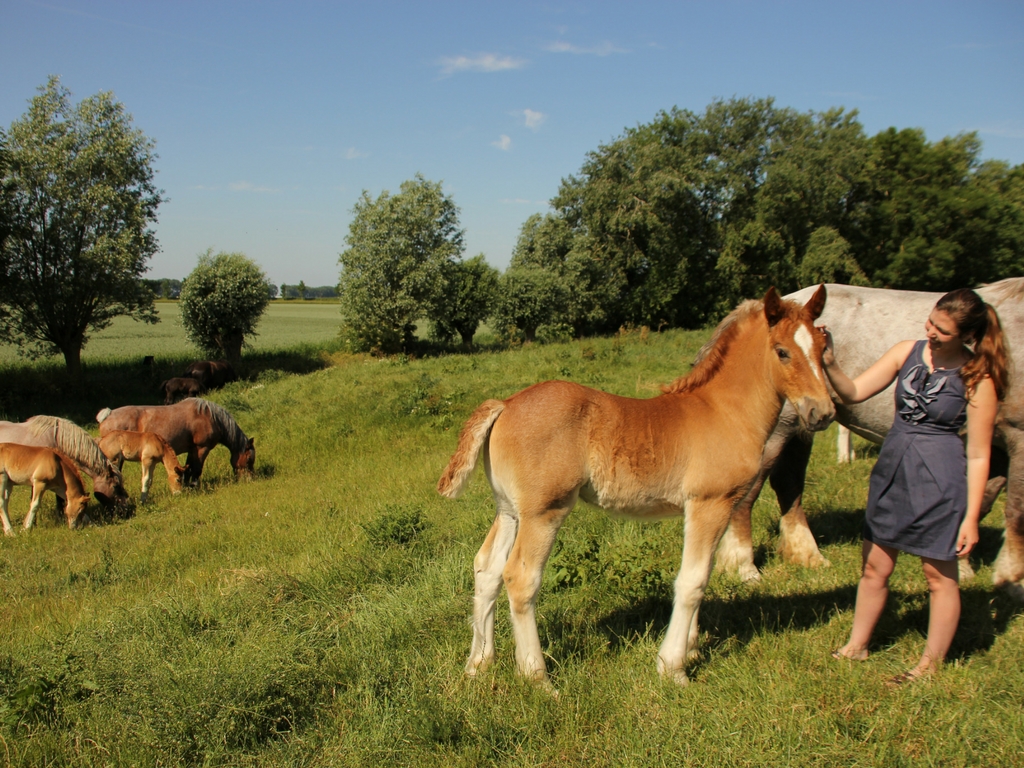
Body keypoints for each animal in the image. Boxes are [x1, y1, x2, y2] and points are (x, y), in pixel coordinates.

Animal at [95, 399, 254, 483]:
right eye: (248, 460)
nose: (249, 479)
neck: (209, 417)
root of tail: (107, 415)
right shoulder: (202, 448)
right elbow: (197, 469)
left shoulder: (192, 449)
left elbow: (189, 467)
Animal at [438, 286, 831, 684]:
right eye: (782, 351)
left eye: (821, 346)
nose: (823, 412)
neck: (723, 410)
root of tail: (505, 403)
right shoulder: (710, 503)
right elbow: (692, 582)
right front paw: (673, 667)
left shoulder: (710, 508)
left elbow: (702, 572)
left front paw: (691, 647)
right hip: (544, 511)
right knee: (520, 577)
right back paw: (538, 678)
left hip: (509, 510)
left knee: (487, 569)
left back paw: (478, 665)